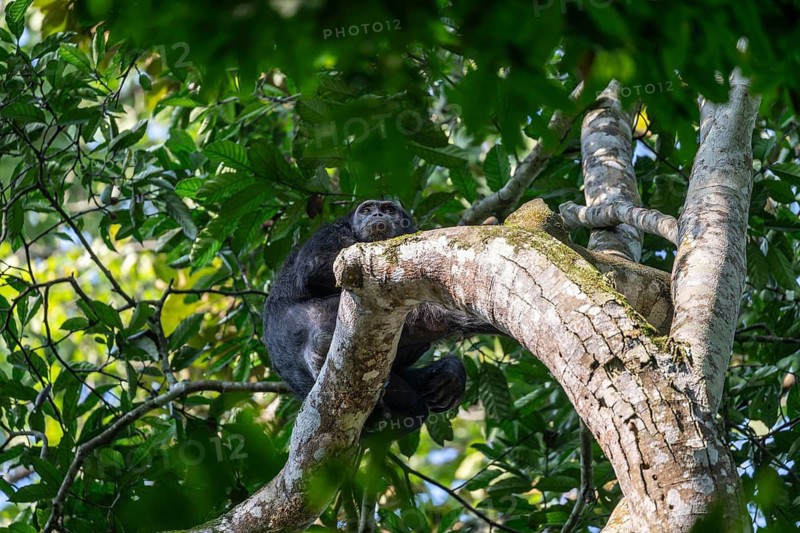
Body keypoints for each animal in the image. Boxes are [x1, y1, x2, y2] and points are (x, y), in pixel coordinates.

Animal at [263, 199, 496, 438]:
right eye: (366, 210)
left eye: (389, 210)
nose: (376, 214)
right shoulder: (327, 234)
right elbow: (316, 264)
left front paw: (449, 375)